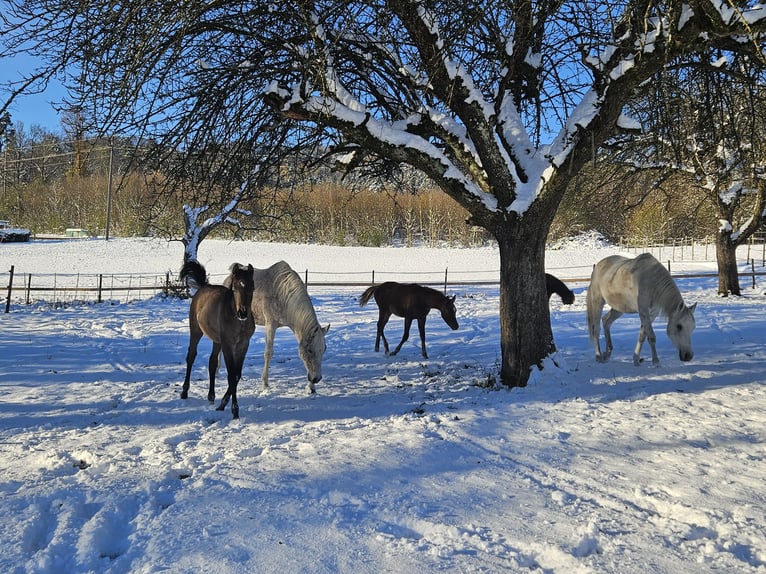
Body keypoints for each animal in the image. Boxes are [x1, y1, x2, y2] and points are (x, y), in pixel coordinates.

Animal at [180, 260, 255, 418]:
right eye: (235, 288)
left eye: (252, 287)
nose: (243, 313)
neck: (238, 320)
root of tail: (203, 287)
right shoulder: (228, 345)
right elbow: (231, 375)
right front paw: (234, 410)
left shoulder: (243, 345)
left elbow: (237, 375)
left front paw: (222, 404)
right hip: (196, 332)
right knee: (191, 356)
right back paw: (184, 391)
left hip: (217, 341)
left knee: (212, 362)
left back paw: (211, 396)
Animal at [225, 264, 328, 394]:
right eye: (309, 350)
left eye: (323, 349)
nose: (316, 378)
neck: (283, 295)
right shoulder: (270, 324)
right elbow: (268, 353)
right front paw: (265, 384)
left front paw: (310, 387)